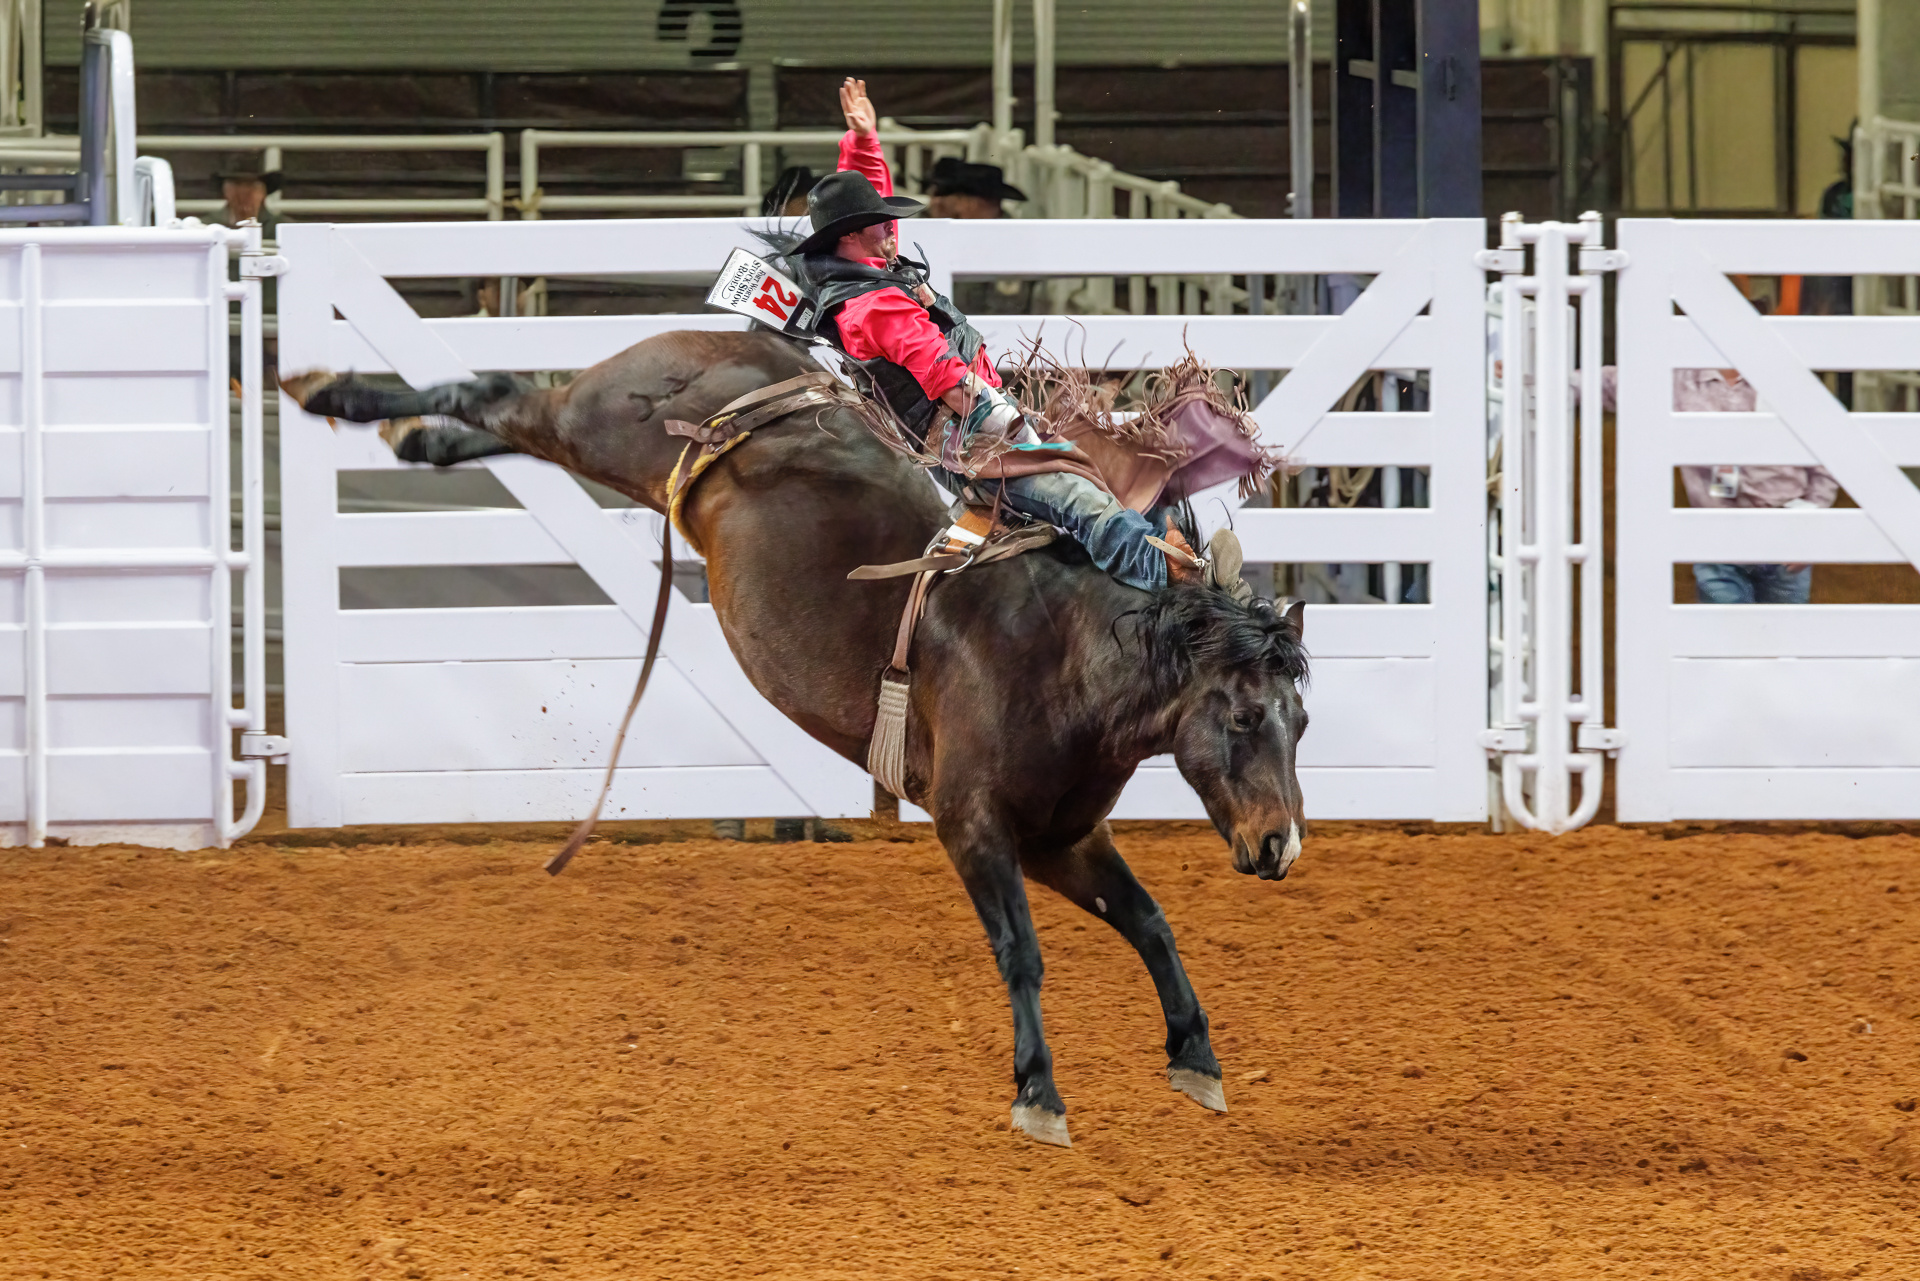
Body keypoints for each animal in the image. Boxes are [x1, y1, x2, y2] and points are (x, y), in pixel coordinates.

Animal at [280, 326, 1305, 1144]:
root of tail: (744, 344)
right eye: (1246, 715)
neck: (1058, 653)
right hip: (601, 420)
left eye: (1302, 721)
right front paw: (1039, 1095)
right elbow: (1022, 950)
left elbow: (1148, 918)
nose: (1282, 846)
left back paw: (409, 430)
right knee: (504, 391)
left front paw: (1197, 1057)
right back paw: (338, 394)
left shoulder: (1060, 837)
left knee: (496, 404)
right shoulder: (974, 825)